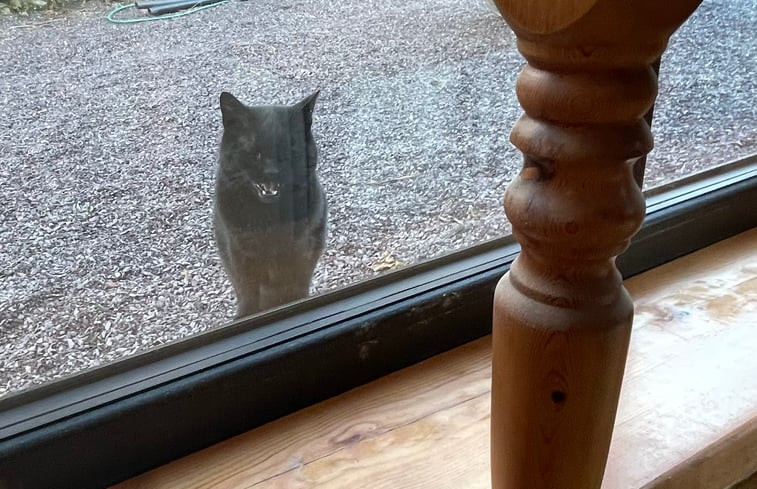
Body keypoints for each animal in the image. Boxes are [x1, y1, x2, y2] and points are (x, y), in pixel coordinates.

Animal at [216, 91, 328, 318]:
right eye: (255, 153)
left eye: (286, 151)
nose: (271, 171)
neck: (268, 220)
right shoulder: (239, 254)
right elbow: (248, 292)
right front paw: (246, 315)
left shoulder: (302, 250)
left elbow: (293, 288)